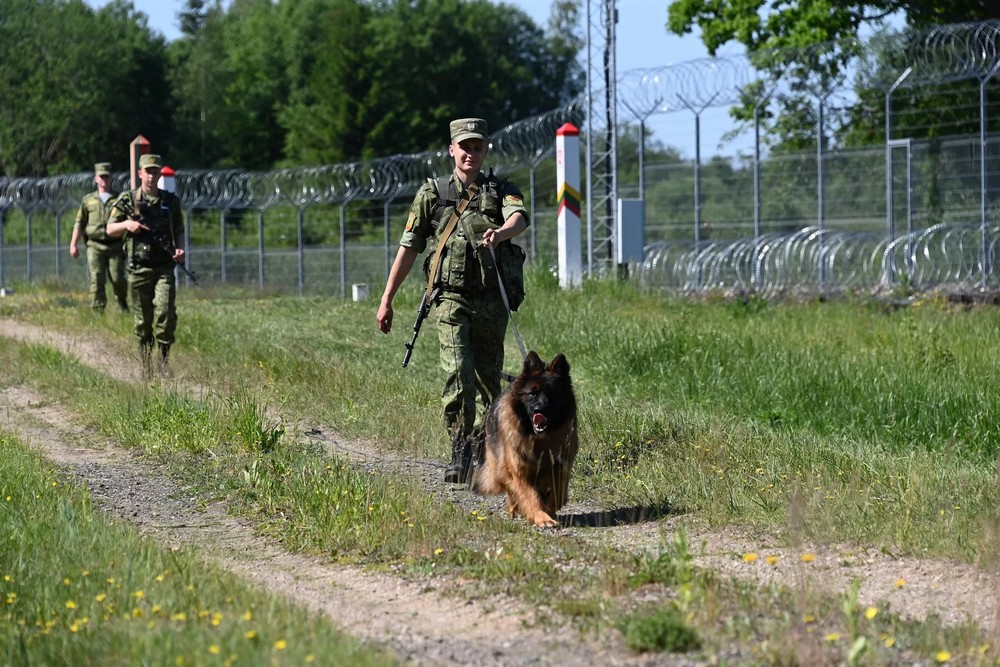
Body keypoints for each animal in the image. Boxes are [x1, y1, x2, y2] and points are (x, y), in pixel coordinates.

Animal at [474, 352, 580, 528]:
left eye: (552, 394)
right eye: (532, 393)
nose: (539, 410)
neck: (539, 439)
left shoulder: (561, 466)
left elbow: (558, 492)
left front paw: (550, 507)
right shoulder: (519, 471)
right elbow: (530, 497)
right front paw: (541, 517)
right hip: (501, 465)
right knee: (510, 490)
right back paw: (515, 509)